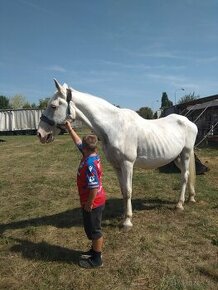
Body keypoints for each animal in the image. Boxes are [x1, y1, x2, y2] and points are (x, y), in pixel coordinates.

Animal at [38, 79, 199, 229]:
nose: (40, 134)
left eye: (53, 106)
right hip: (177, 157)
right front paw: (123, 215)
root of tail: (189, 122)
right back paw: (190, 197)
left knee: (184, 176)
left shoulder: (127, 164)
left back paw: (179, 204)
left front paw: (127, 221)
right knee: (186, 174)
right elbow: (123, 190)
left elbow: (128, 190)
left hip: (185, 153)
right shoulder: (116, 165)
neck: (114, 127)